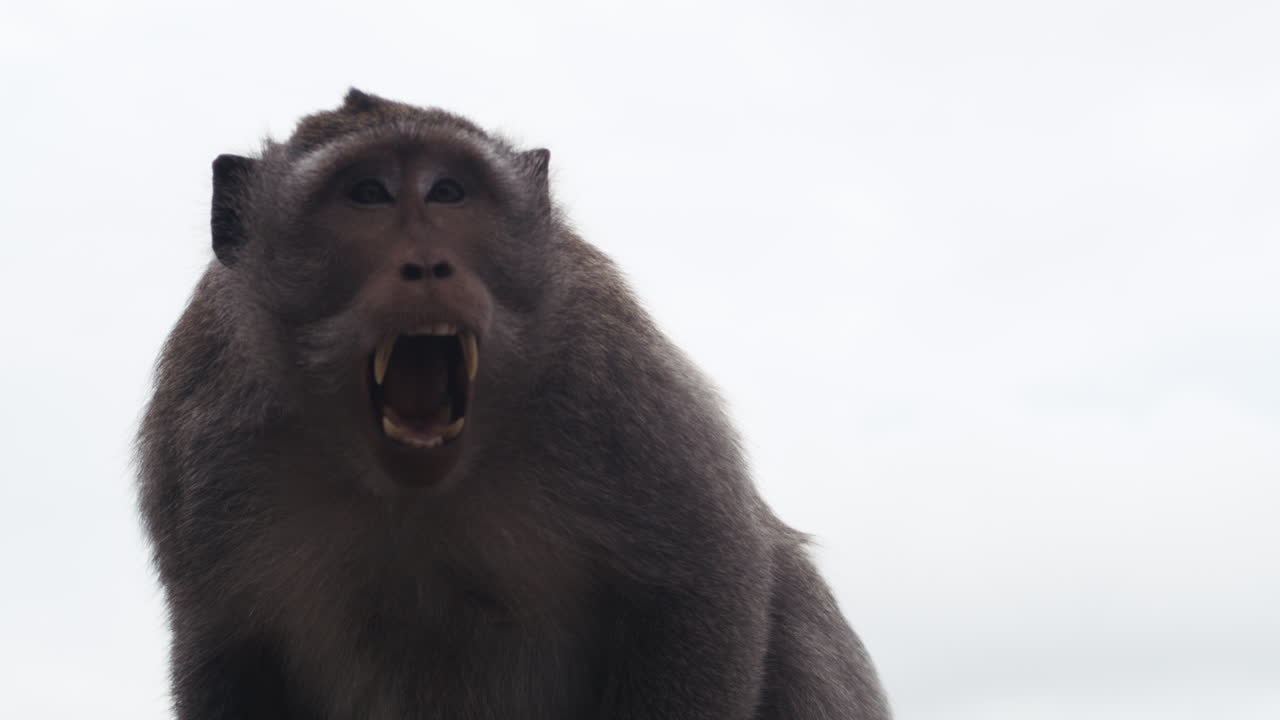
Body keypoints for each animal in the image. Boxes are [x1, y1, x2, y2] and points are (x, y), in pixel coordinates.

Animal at [137, 88, 891, 720]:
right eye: (367, 194)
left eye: (448, 192)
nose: (427, 264)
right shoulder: (200, 436)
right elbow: (227, 657)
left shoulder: (610, 376)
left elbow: (705, 582)